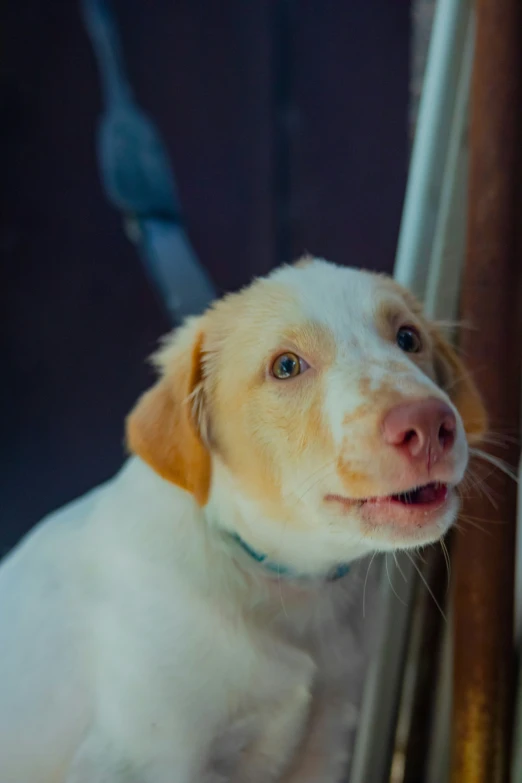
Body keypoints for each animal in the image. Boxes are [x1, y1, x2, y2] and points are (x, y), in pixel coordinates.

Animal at [0, 260, 484, 780]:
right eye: (286, 366)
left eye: (409, 338)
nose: (429, 426)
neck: (288, 582)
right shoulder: (141, 757)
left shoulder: (325, 738)